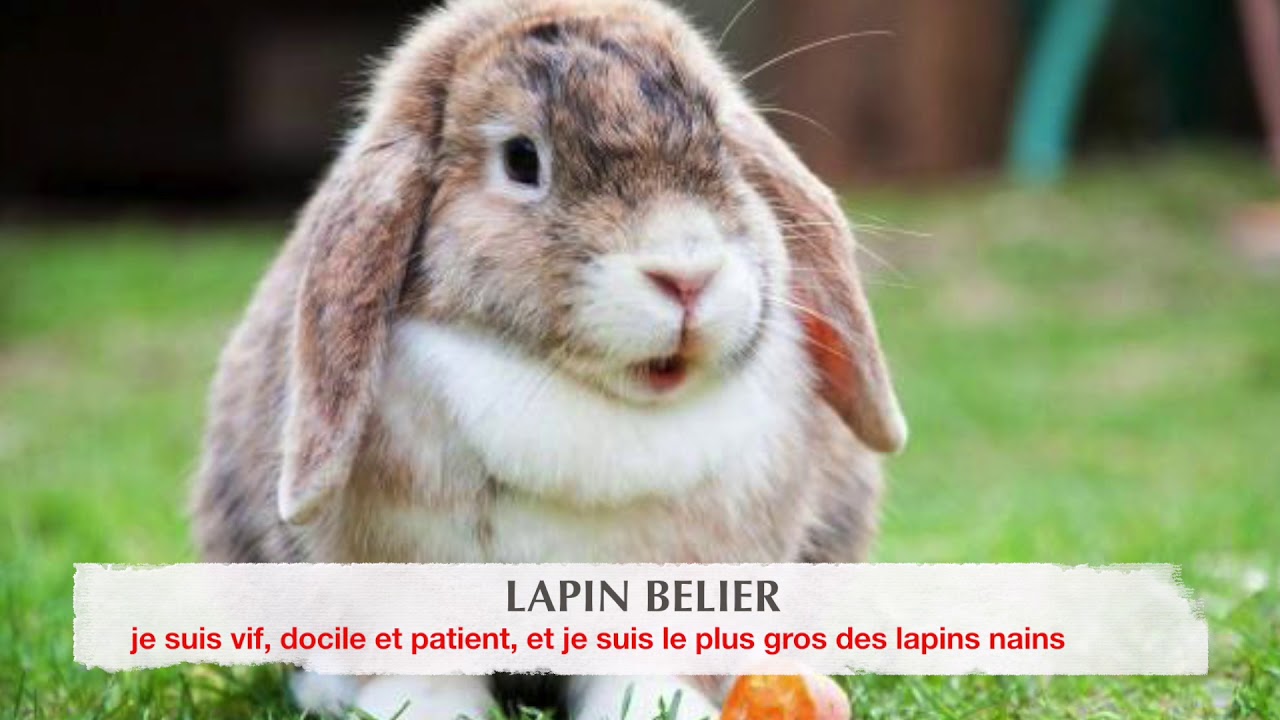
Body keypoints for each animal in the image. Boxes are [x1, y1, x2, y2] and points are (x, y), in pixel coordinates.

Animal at [191, 0, 907, 717]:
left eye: (723, 148)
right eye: (520, 159)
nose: (687, 276)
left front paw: (655, 706)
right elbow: (423, 662)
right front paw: (421, 708)